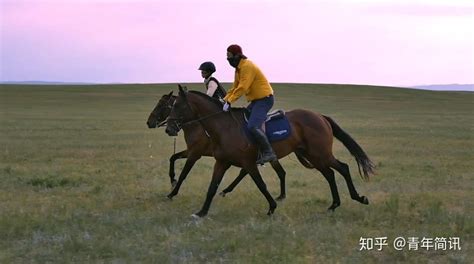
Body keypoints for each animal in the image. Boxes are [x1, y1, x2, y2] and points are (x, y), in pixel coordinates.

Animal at [146, 92, 286, 199]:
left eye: (161, 105)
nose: (149, 122)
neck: (195, 124)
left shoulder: (195, 154)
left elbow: (184, 173)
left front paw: (172, 192)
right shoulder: (191, 151)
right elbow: (173, 157)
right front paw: (172, 180)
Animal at [166, 85, 374, 218]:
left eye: (177, 105)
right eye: (170, 106)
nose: (169, 129)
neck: (224, 127)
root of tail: (320, 116)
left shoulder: (248, 163)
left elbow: (261, 185)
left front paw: (272, 207)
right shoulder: (222, 162)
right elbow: (212, 187)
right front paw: (201, 212)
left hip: (320, 154)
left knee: (343, 168)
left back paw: (357, 198)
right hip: (314, 156)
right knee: (330, 174)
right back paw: (334, 205)